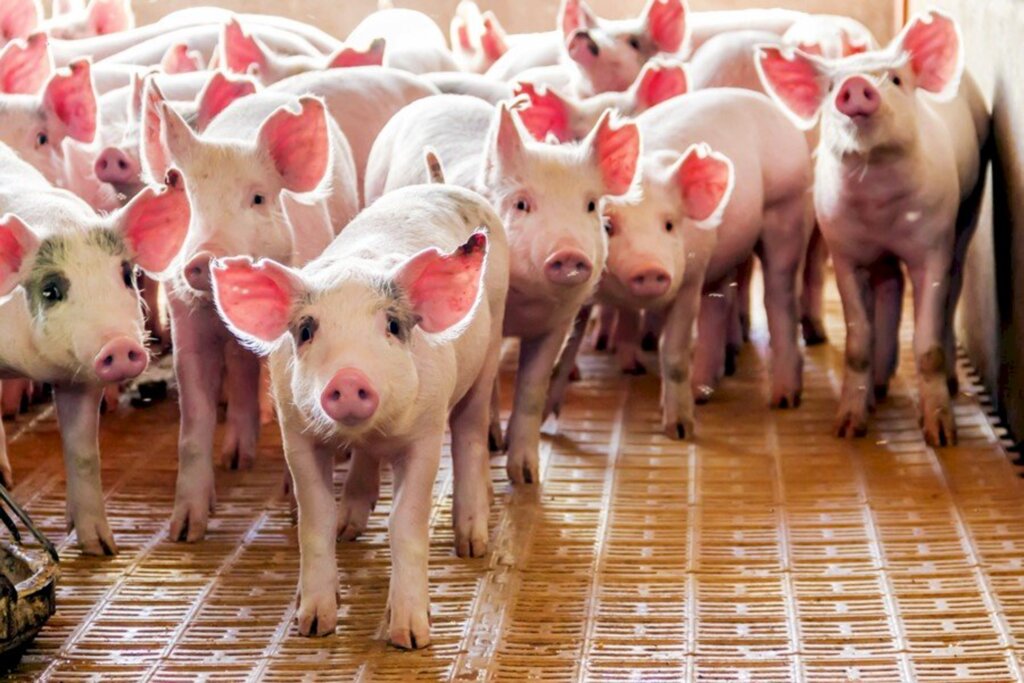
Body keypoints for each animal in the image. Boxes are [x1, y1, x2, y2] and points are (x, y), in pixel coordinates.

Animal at [210, 181, 507, 647]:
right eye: (306, 330)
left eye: (393, 326)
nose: (348, 378)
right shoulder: (295, 432)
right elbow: (315, 519)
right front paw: (314, 624)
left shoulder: (425, 434)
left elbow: (406, 522)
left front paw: (410, 637)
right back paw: (351, 525)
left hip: (488, 354)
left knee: (470, 435)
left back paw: (471, 543)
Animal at [368, 94, 638, 485]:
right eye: (521, 204)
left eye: (590, 205)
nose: (569, 254)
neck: (525, 307)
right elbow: (492, 381)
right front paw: (495, 443)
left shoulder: (559, 322)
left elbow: (532, 389)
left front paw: (527, 476)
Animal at [757, 12, 987, 448]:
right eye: (831, 87)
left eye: (895, 80)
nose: (855, 86)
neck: (879, 203)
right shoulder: (845, 252)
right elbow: (857, 342)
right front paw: (847, 429)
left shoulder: (932, 244)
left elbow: (927, 344)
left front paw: (942, 437)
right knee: (890, 287)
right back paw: (879, 389)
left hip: (970, 207)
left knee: (954, 288)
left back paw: (950, 383)